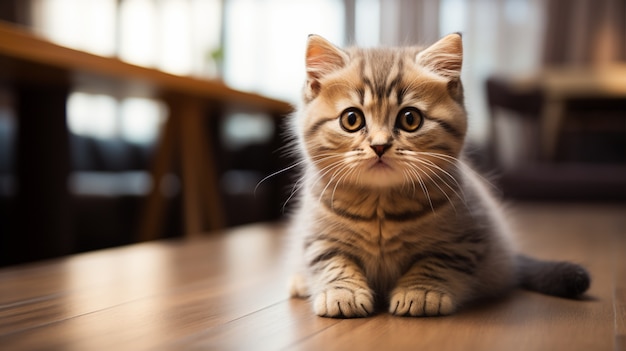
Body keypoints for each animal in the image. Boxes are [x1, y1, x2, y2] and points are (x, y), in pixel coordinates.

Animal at [286, 33, 588, 320]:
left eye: (410, 119)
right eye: (351, 119)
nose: (380, 145)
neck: (380, 210)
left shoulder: (463, 238)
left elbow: (435, 262)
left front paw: (420, 292)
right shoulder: (317, 236)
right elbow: (331, 261)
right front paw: (342, 292)